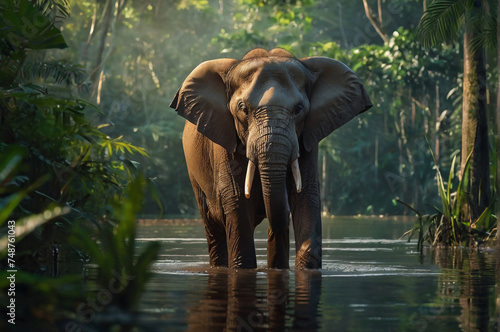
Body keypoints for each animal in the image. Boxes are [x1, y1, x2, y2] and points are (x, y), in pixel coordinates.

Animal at [172, 47, 372, 270]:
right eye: (243, 108)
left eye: (299, 109)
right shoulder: (223, 139)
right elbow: (237, 201)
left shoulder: (308, 140)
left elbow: (306, 197)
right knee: (214, 226)